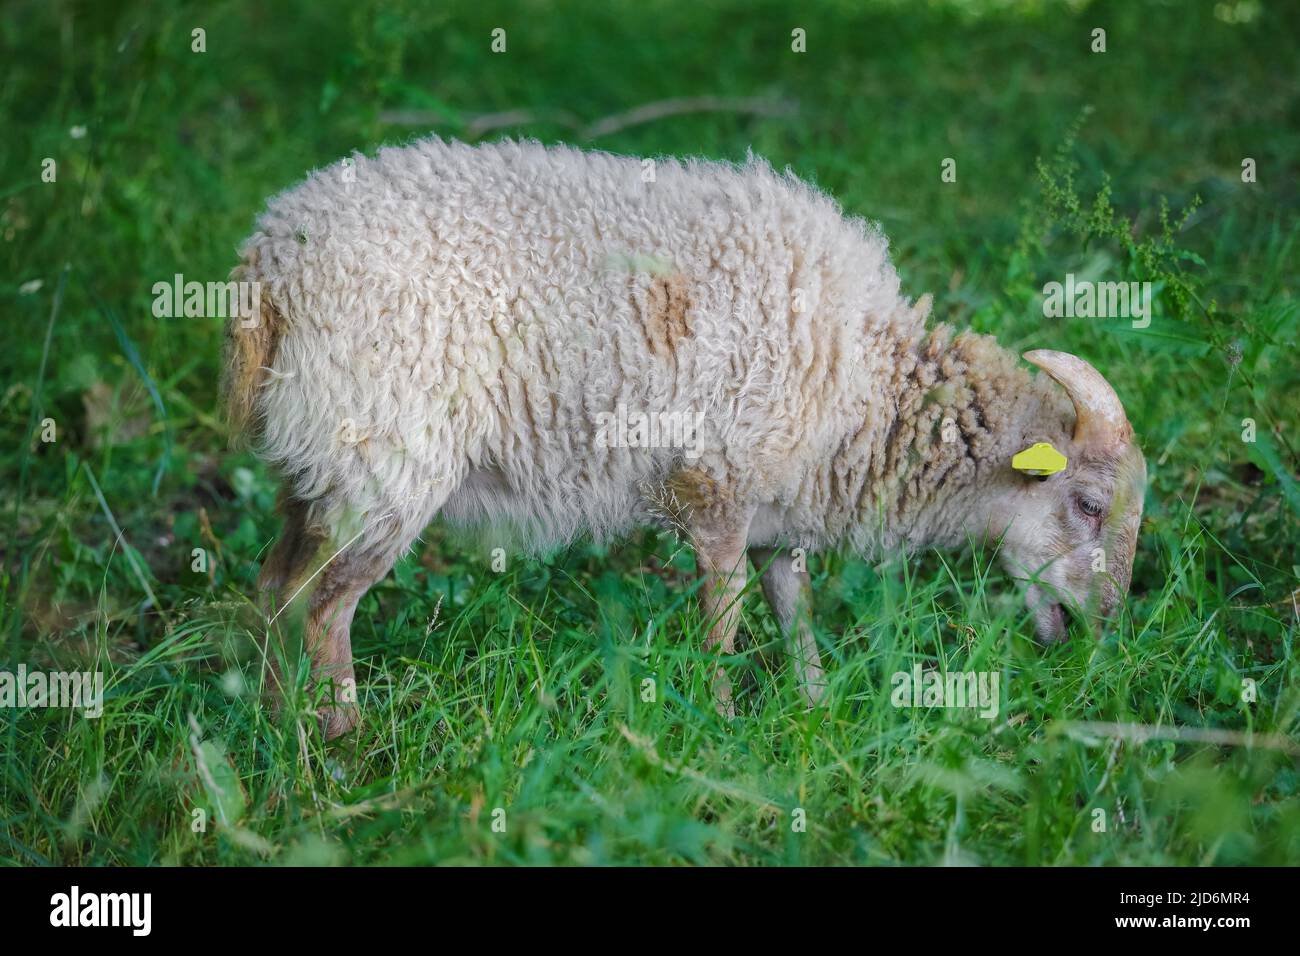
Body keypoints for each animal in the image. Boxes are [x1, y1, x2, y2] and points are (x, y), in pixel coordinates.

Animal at [223, 134, 1149, 738]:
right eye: (1089, 503)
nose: (1101, 637)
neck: (866, 389)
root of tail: (269, 265)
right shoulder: (718, 488)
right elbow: (725, 617)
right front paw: (724, 722)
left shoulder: (779, 508)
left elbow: (794, 608)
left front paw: (812, 711)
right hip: (385, 460)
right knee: (324, 605)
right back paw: (343, 743)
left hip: (317, 462)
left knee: (273, 587)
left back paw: (277, 730)